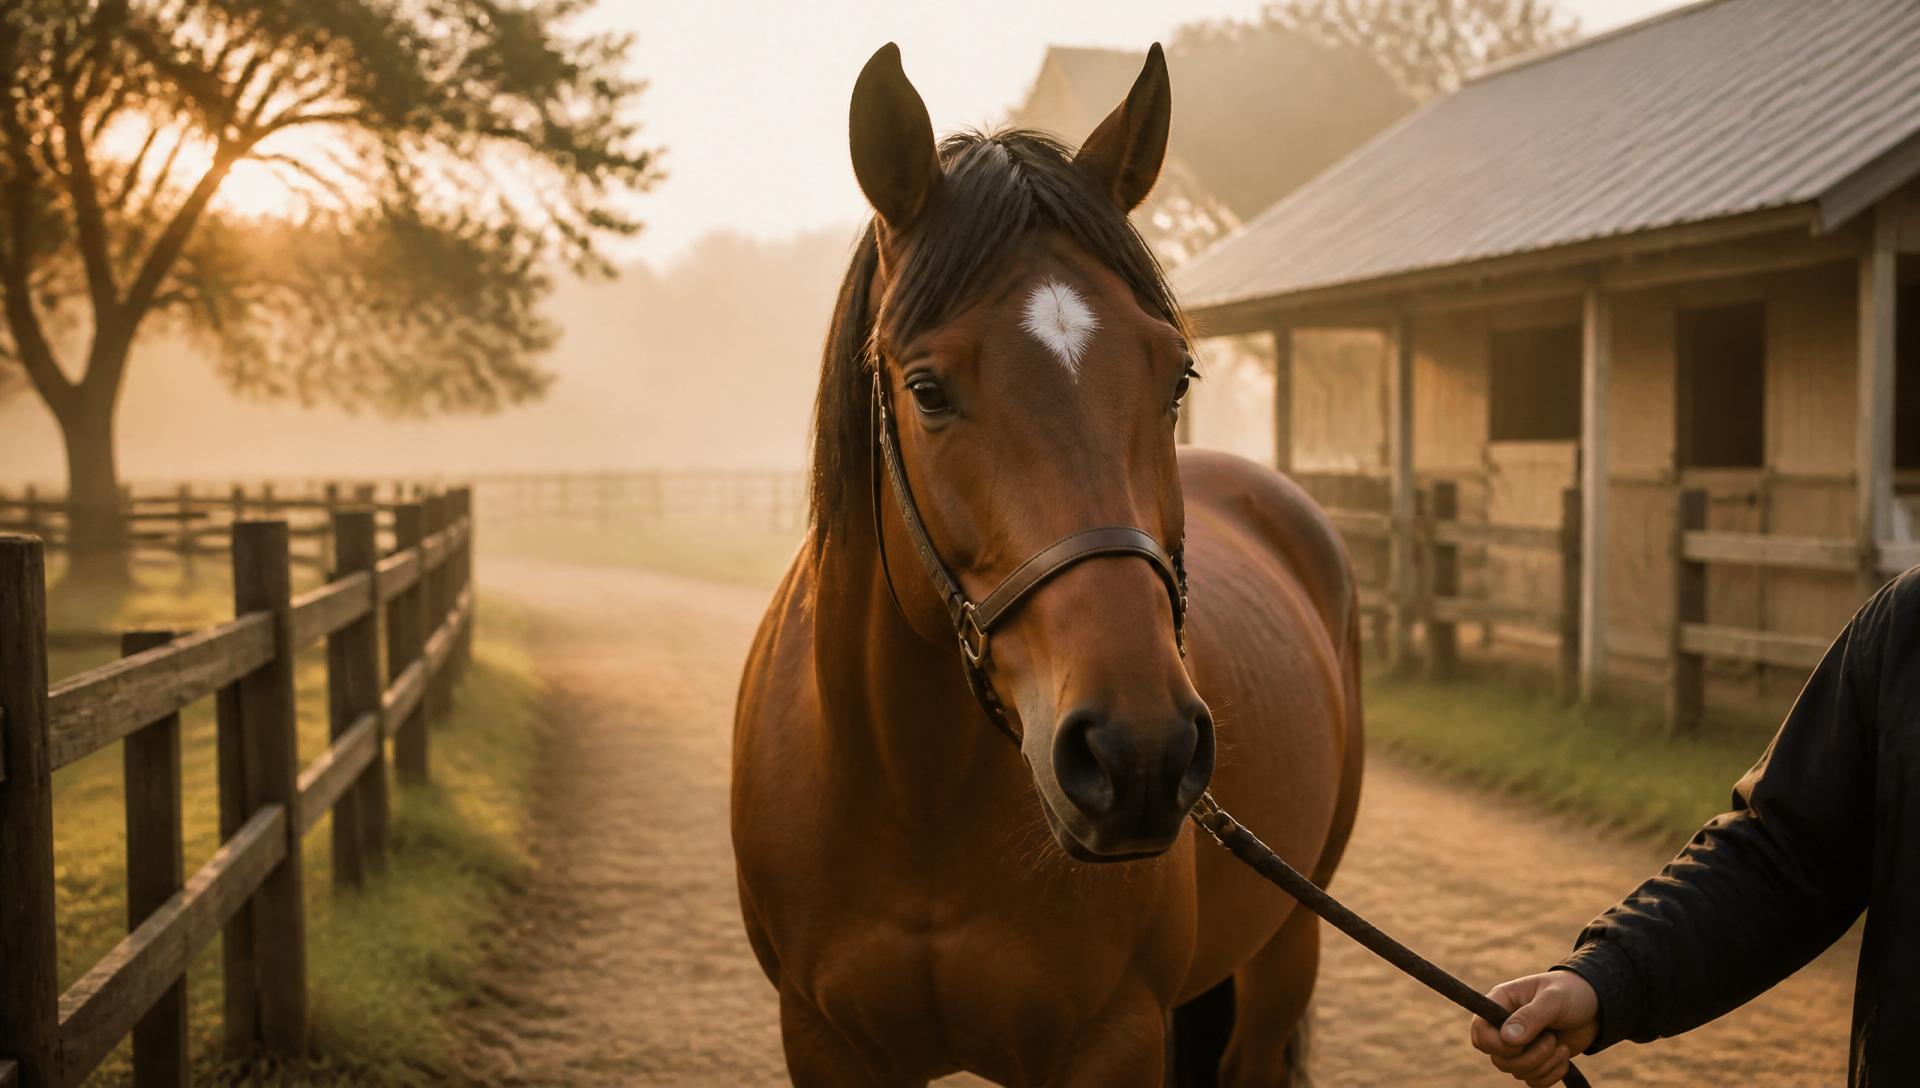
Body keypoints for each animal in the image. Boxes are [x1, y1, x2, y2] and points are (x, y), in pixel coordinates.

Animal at [731, 42, 1364, 1087]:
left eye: (1177, 376)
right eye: (927, 390)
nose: (1139, 753)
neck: (914, 793)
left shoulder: (1111, 1040)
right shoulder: (822, 1038)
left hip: (1286, 949)